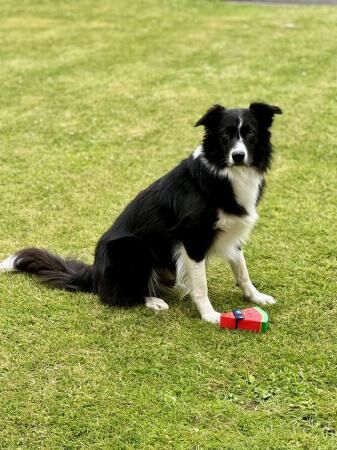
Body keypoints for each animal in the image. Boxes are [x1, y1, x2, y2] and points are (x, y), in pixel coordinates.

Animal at [0, 103, 280, 324]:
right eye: (224, 135)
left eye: (250, 133)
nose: (238, 156)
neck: (226, 174)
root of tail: (95, 272)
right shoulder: (192, 238)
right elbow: (201, 285)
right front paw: (209, 315)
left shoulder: (231, 233)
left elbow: (242, 270)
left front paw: (255, 296)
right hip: (132, 247)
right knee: (117, 294)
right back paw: (153, 301)